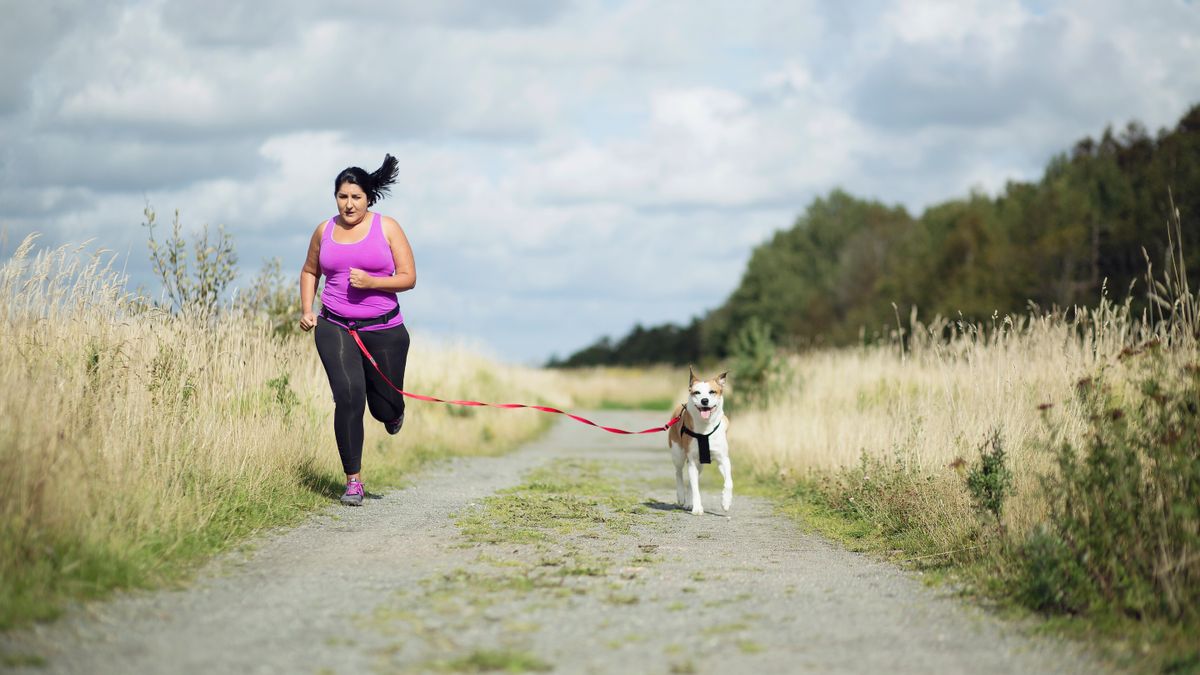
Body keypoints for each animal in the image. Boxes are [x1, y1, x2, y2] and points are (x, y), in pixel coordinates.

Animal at [667, 365, 729, 511]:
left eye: (712, 392)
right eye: (697, 392)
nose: (704, 400)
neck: (705, 428)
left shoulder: (723, 458)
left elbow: (729, 481)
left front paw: (726, 501)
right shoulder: (692, 460)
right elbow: (695, 488)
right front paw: (697, 509)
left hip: (700, 464)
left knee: (691, 480)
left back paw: (689, 502)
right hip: (678, 453)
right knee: (679, 472)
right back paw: (682, 497)